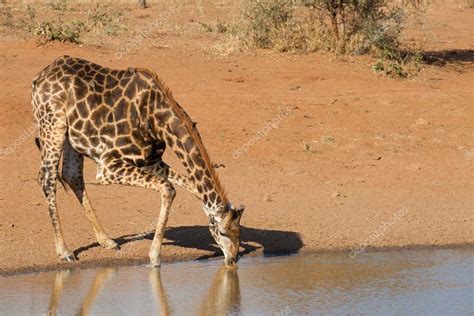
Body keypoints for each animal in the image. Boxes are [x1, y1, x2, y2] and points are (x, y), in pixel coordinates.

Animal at [31, 55, 244, 268]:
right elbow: (169, 189)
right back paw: (64, 251)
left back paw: (107, 241)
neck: (155, 118)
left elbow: (191, 185)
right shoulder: (107, 166)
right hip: (53, 125)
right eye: (222, 232)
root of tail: (39, 77)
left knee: (72, 176)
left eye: (239, 231)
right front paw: (155, 257)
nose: (233, 259)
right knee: (47, 178)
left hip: (73, 137)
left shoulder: (151, 161)